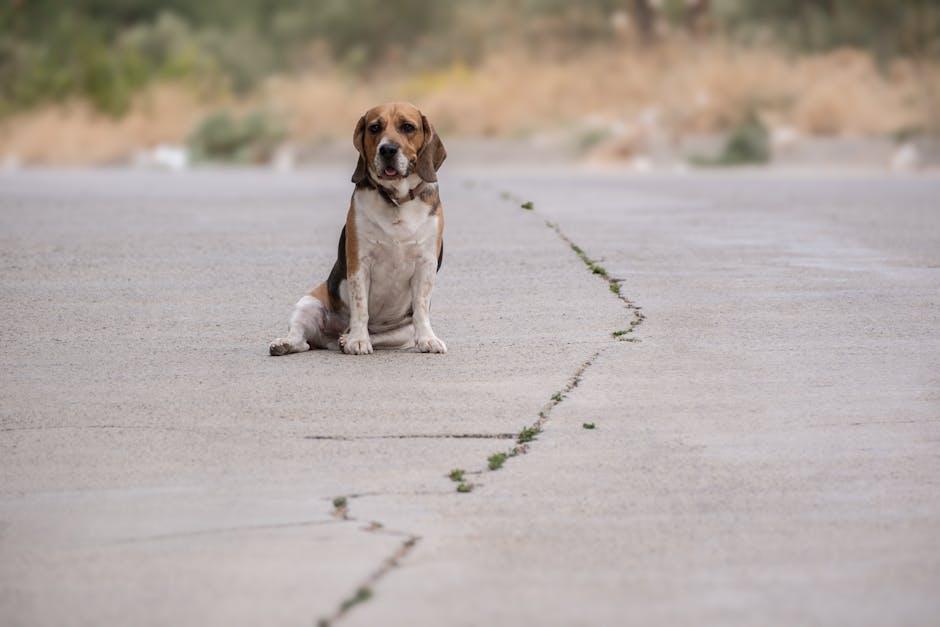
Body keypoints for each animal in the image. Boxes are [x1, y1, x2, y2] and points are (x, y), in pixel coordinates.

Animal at [268, 103, 448, 358]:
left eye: (407, 127)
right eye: (374, 127)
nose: (387, 149)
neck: (396, 200)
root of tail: (330, 339)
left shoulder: (426, 264)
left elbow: (421, 308)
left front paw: (428, 340)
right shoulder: (359, 263)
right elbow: (361, 306)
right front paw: (359, 341)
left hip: (401, 333)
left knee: (381, 335)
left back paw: (345, 339)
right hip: (308, 303)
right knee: (301, 339)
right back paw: (289, 343)